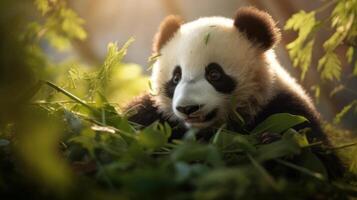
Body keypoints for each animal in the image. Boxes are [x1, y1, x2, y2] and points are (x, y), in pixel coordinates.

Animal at [126, 6, 344, 178]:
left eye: (214, 74)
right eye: (176, 78)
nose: (188, 108)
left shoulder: (284, 106)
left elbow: (323, 163)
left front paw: (274, 145)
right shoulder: (151, 115)